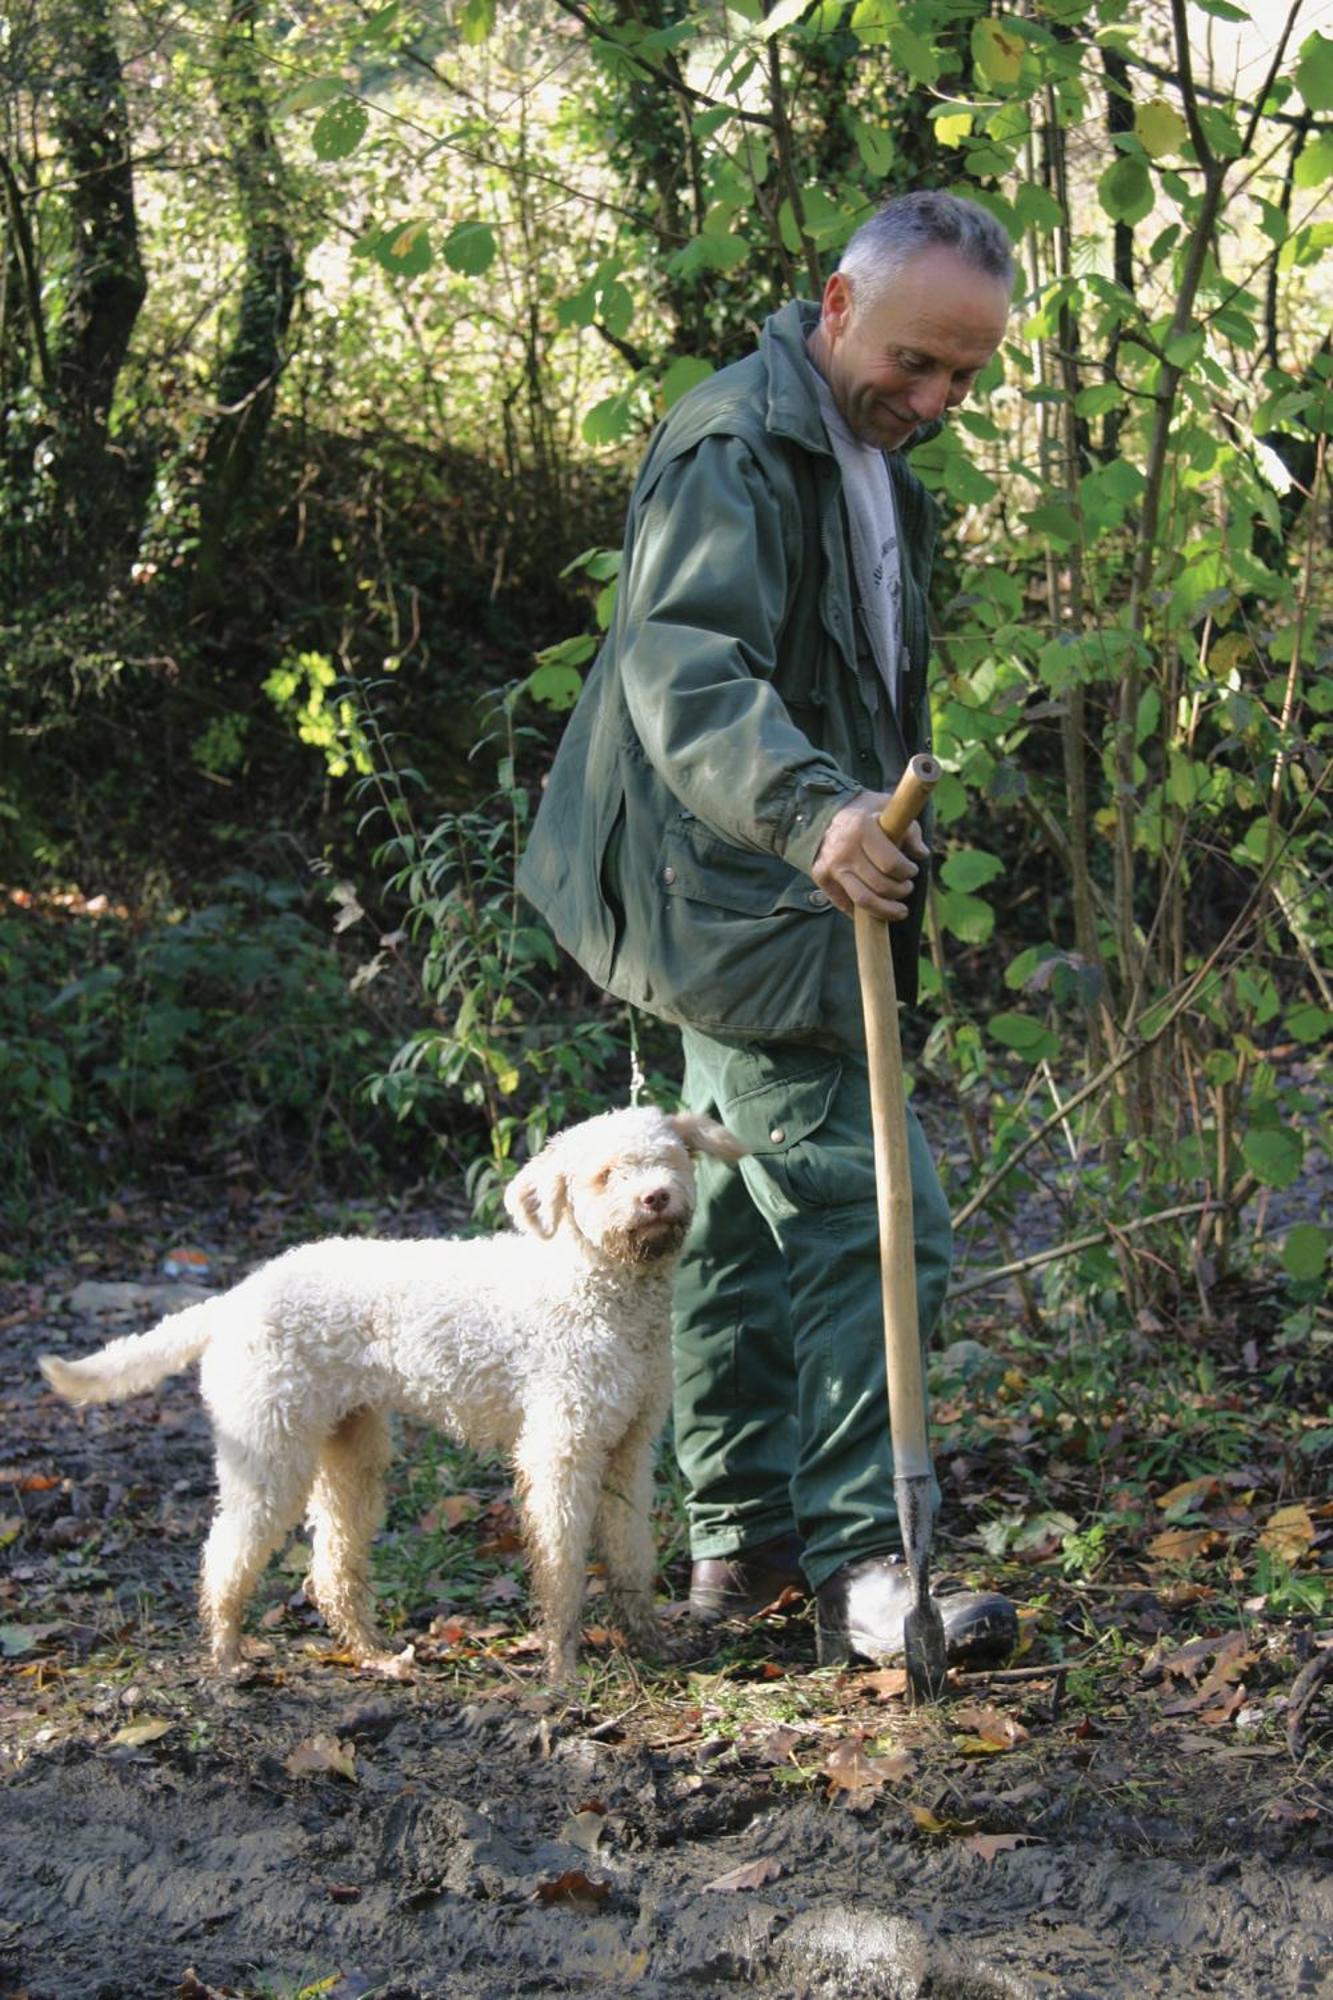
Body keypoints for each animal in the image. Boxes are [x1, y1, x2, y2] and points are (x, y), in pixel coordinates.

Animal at [41, 1112, 740, 1688]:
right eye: (603, 1175)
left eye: (670, 1158)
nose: (655, 1197)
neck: (594, 1287)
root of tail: (233, 1300)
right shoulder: (561, 1453)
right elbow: (562, 1565)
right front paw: (561, 1666)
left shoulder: (627, 1451)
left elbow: (631, 1558)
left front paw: (652, 1645)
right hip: (271, 1453)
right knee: (224, 1557)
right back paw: (227, 1659)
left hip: (349, 1453)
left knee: (331, 1567)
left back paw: (375, 1656)